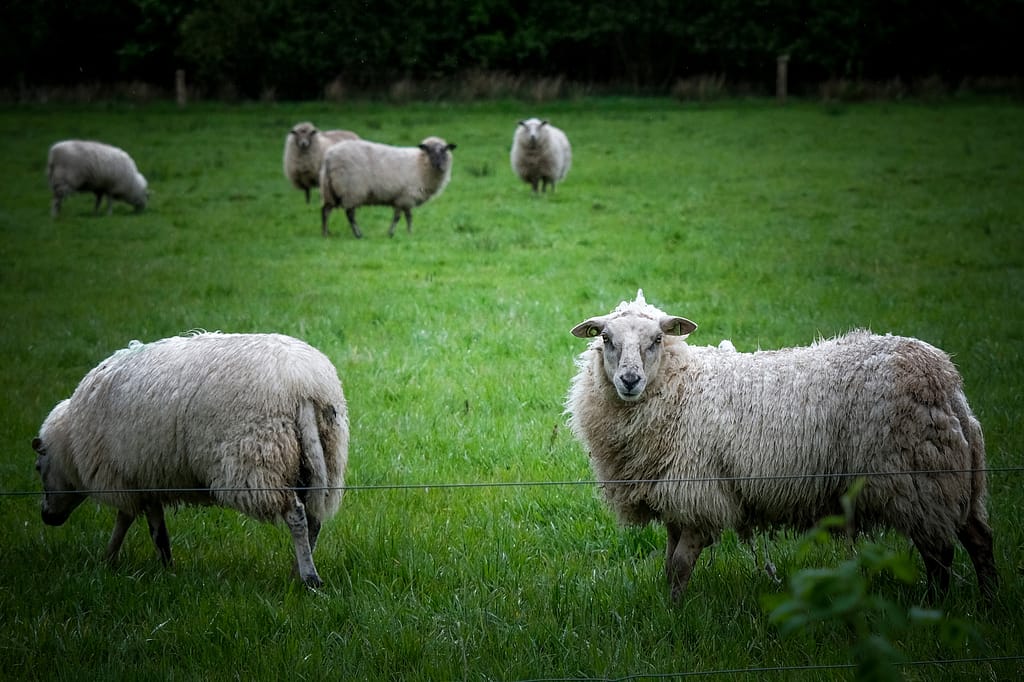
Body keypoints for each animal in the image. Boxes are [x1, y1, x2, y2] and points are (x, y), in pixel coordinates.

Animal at [30, 329, 348, 585]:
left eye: (37, 467)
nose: (46, 517)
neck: (70, 446)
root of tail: (305, 385)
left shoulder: (123, 477)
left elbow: (125, 520)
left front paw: (108, 560)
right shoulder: (147, 479)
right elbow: (157, 530)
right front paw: (166, 567)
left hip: (258, 461)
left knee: (296, 514)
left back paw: (308, 577)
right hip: (321, 456)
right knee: (314, 517)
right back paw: (298, 569)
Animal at [315, 134, 456, 237]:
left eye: (444, 150)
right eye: (429, 151)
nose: (440, 166)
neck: (420, 163)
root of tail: (329, 156)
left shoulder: (401, 198)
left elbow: (405, 216)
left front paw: (406, 232)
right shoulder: (405, 197)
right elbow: (402, 217)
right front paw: (399, 233)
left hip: (328, 189)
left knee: (325, 211)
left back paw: (325, 233)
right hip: (351, 190)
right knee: (350, 214)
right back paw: (358, 234)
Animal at [565, 288, 995, 598]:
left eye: (657, 339)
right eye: (606, 339)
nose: (630, 380)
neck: (682, 384)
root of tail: (944, 376)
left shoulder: (701, 495)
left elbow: (682, 565)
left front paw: (675, 614)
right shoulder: (675, 496)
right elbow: (671, 564)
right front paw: (668, 606)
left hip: (919, 479)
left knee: (939, 553)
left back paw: (935, 608)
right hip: (956, 478)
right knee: (979, 539)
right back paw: (988, 604)